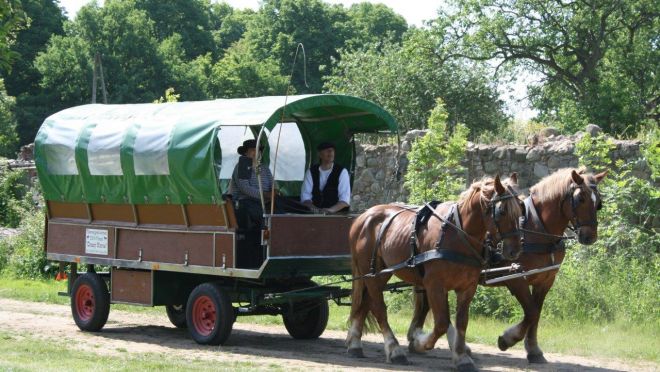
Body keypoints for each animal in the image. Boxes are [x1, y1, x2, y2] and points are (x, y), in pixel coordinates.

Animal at [348, 175, 524, 372]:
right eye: (502, 211)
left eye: (521, 209)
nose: (515, 250)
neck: (458, 234)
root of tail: (363, 217)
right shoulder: (434, 285)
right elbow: (441, 323)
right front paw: (419, 342)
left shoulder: (467, 287)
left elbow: (461, 322)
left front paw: (461, 357)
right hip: (372, 273)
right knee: (378, 308)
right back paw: (394, 350)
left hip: (379, 274)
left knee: (365, 302)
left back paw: (355, 344)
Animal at [412, 168, 608, 364]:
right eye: (580, 198)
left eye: (598, 202)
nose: (590, 236)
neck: (537, 229)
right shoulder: (516, 279)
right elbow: (531, 312)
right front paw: (508, 339)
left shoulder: (545, 280)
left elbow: (536, 314)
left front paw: (533, 350)